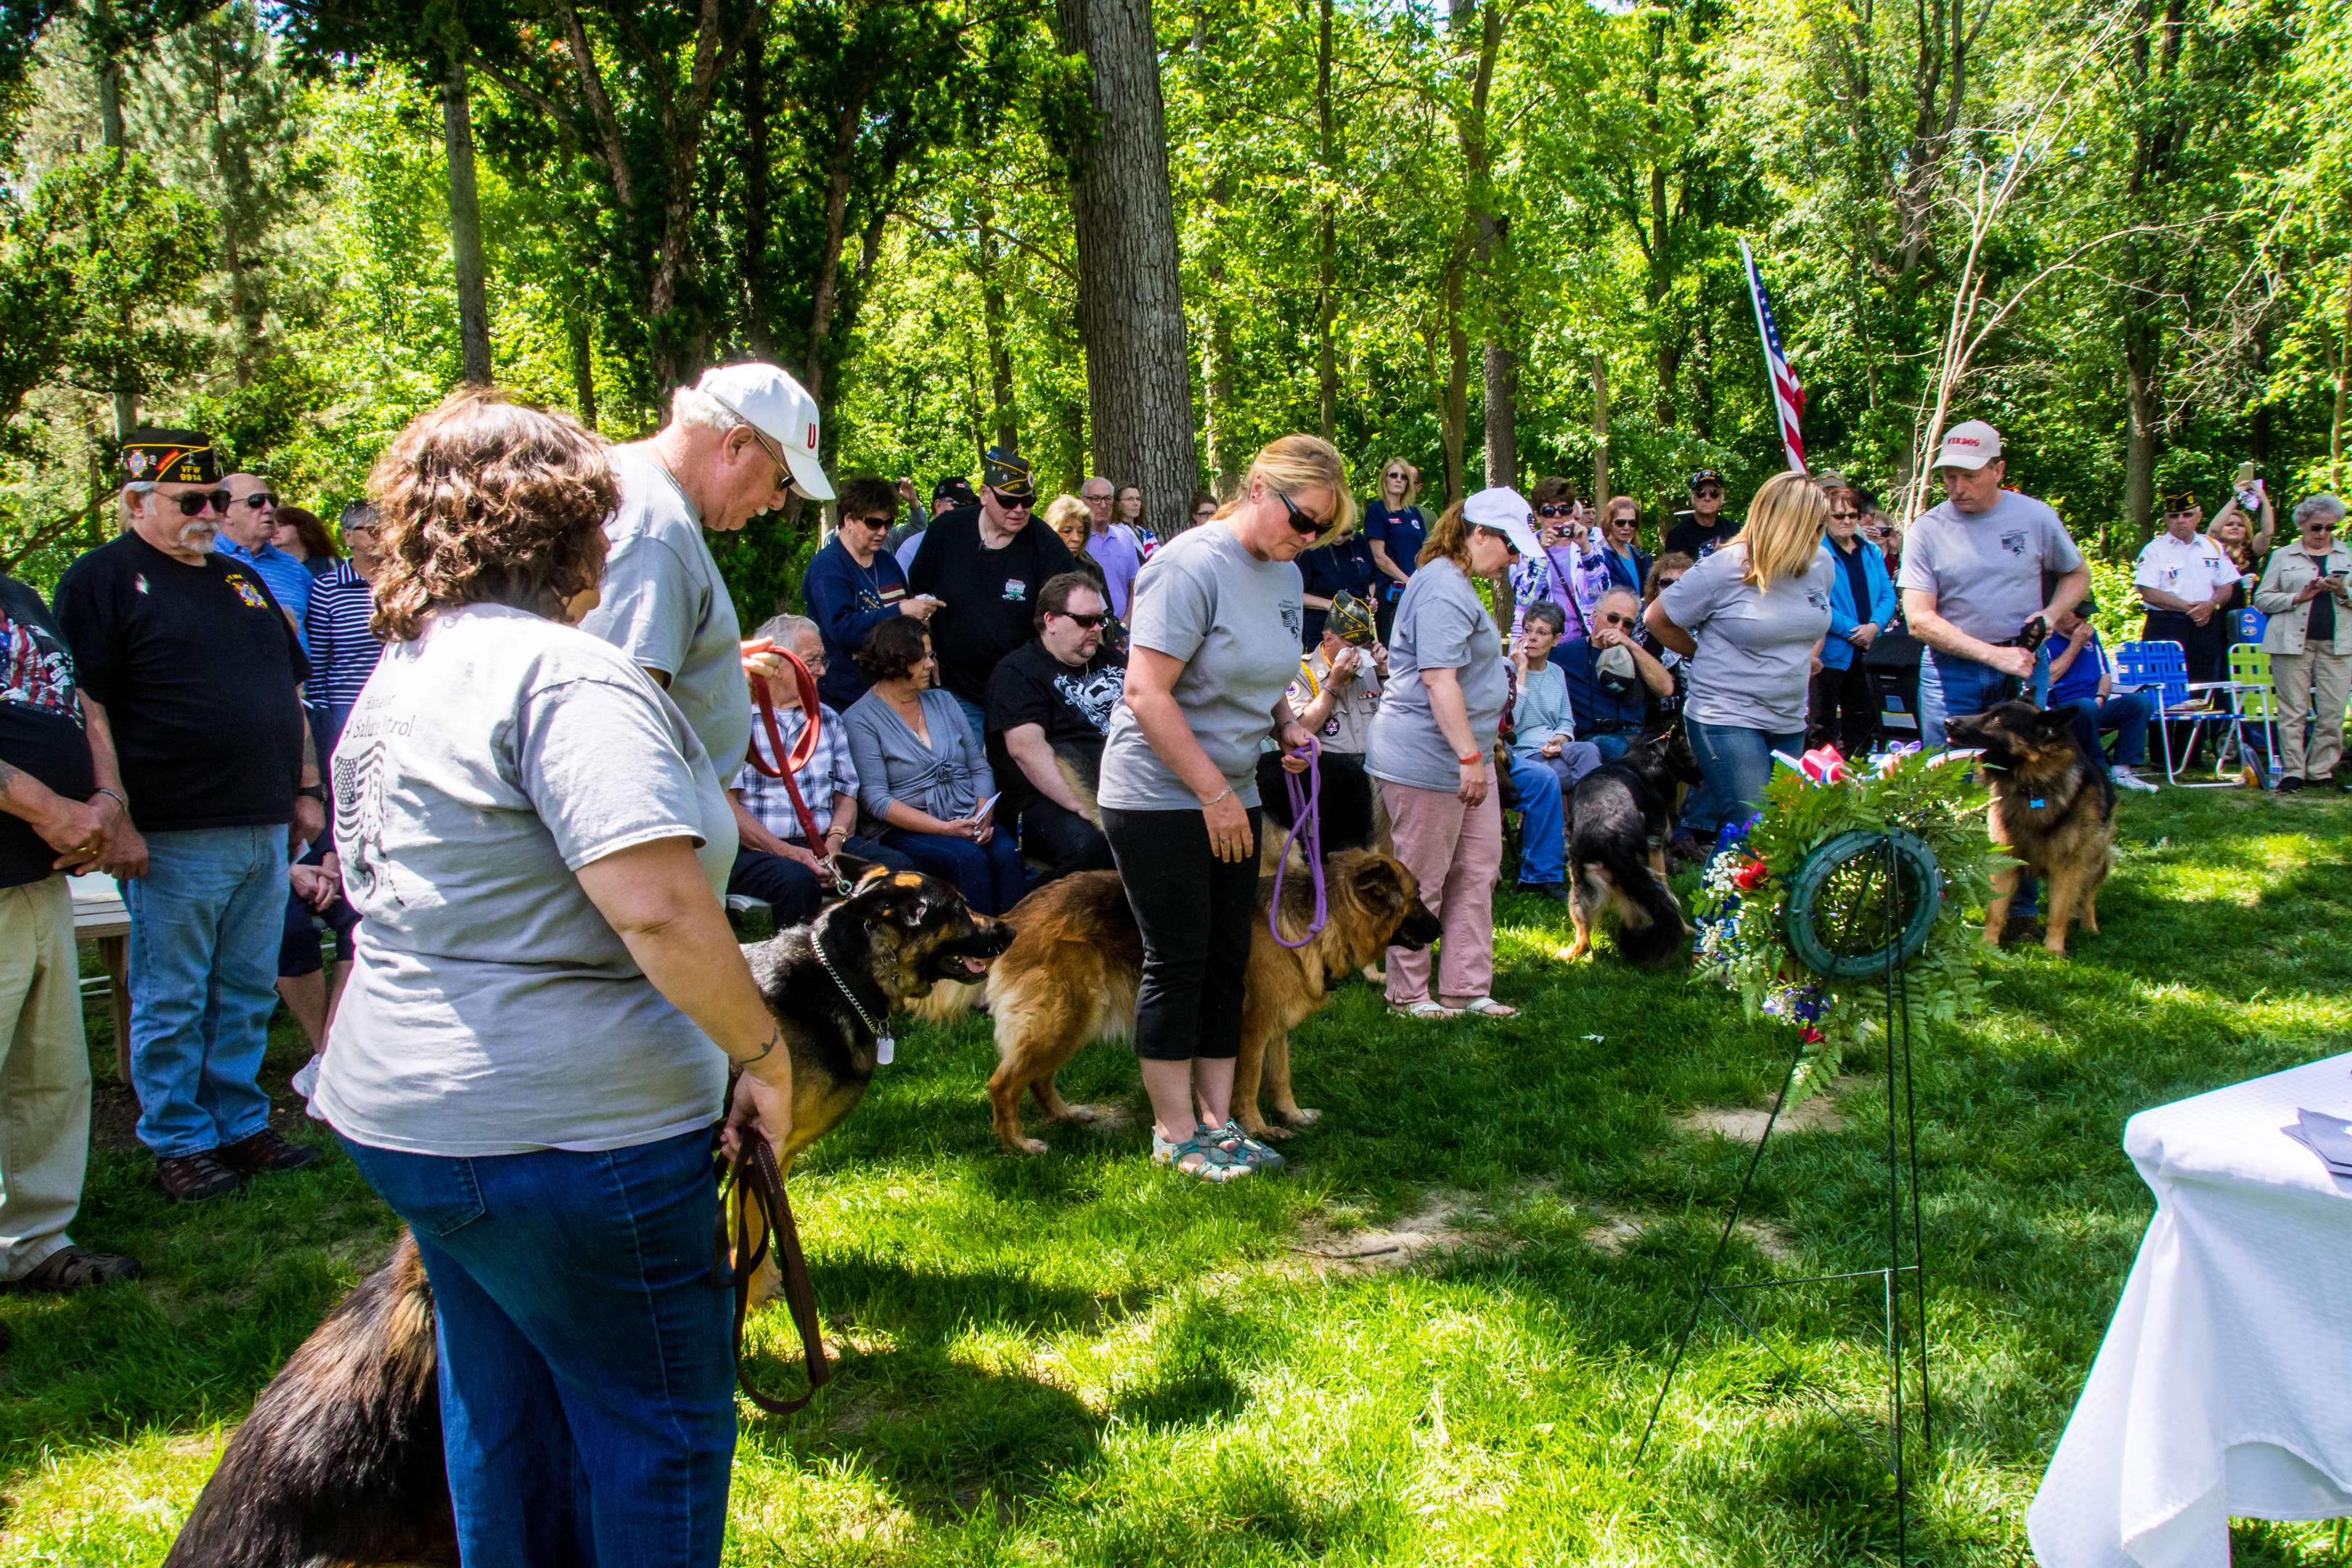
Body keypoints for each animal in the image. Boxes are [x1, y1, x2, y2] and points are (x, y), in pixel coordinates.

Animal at [160, 860, 1006, 1568]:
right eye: (956, 908)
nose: (1008, 930)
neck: (837, 976)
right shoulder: (758, 1146)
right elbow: (754, 1240)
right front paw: (762, 1305)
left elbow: (754, 1238)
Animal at [978, 846, 1448, 1151]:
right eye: (1417, 897)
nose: (1442, 929)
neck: (1322, 918)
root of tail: (1015, 914)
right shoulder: (1252, 1031)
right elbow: (1249, 1083)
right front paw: (1259, 1131)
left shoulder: (1276, 1029)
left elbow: (1280, 1078)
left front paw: (1293, 1116)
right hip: (1063, 1020)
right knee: (1002, 1085)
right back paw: (1018, 1145)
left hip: (1074, 1022)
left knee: (1037, 1078)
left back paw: (1064, 1116)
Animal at [1561, 728, 1712, 968]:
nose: (1704, 777)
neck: (1649, 754)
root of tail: (1609, 838)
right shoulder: (1656, 843)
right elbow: (1667, 888)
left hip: (1582, 885)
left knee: (1584, 936)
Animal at [1937, 701, 2126, 959]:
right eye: (1988, 711)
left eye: (1997, 719)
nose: (1948, 722)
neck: (2031, 786)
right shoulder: (2005, 860)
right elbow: (1995, 912)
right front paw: (1987, 947)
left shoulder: (2067, 866)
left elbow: (2058, 913)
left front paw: (2055, 950)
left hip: (2094, 861)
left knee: (2088, 897)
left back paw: (2090, 927)